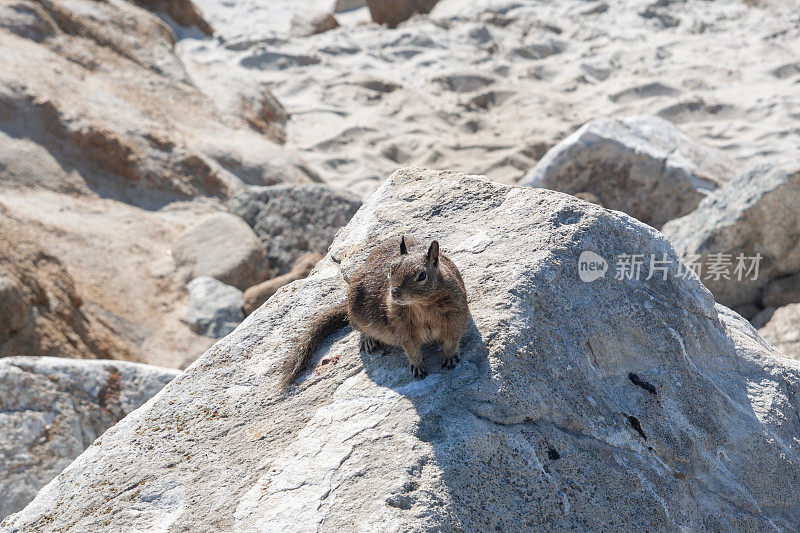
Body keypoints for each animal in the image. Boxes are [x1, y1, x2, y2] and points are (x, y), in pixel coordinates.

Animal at [282, 235, 468, 388]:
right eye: (391, 270)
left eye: (422, 275)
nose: (395, 292)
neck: (421, 305)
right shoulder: (403, 329)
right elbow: (411, 349)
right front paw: (417, 366)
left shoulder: (456, 316)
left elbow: (453, 339)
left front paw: (450, 357)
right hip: (356, 314)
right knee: (359, 329)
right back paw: (368, 340)